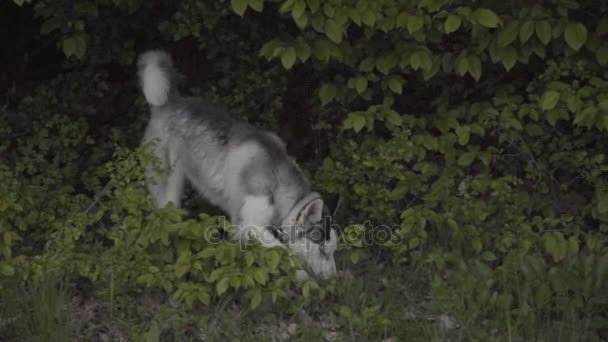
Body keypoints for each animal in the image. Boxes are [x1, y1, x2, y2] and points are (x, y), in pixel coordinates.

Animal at [137, 51, 338, 280]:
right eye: (322, 251)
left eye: (333, 251)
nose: (335, 280)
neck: (277, 179)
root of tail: (169, 102)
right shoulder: (249, 223)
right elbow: (284, 252)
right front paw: (304, 279)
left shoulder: (241, 227)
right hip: (168, 194)